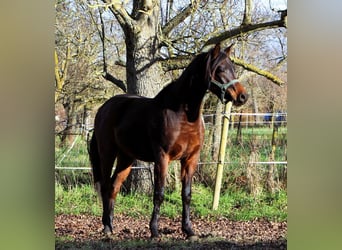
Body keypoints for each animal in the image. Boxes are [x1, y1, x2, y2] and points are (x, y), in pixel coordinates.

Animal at [88, 43, 248, 238]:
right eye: (220, 69)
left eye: (233, 68)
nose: (242, 96)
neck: (182, 115)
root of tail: (103, 108)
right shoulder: (162, 158)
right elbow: (159, 193)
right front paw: (154, 230)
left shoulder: (190, 159)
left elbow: (186, 194)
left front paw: (189, 230)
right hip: (108, 154)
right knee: (105, 186)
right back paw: (106, 228)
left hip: (126, 157)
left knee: (113, 187)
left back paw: (111, 225)